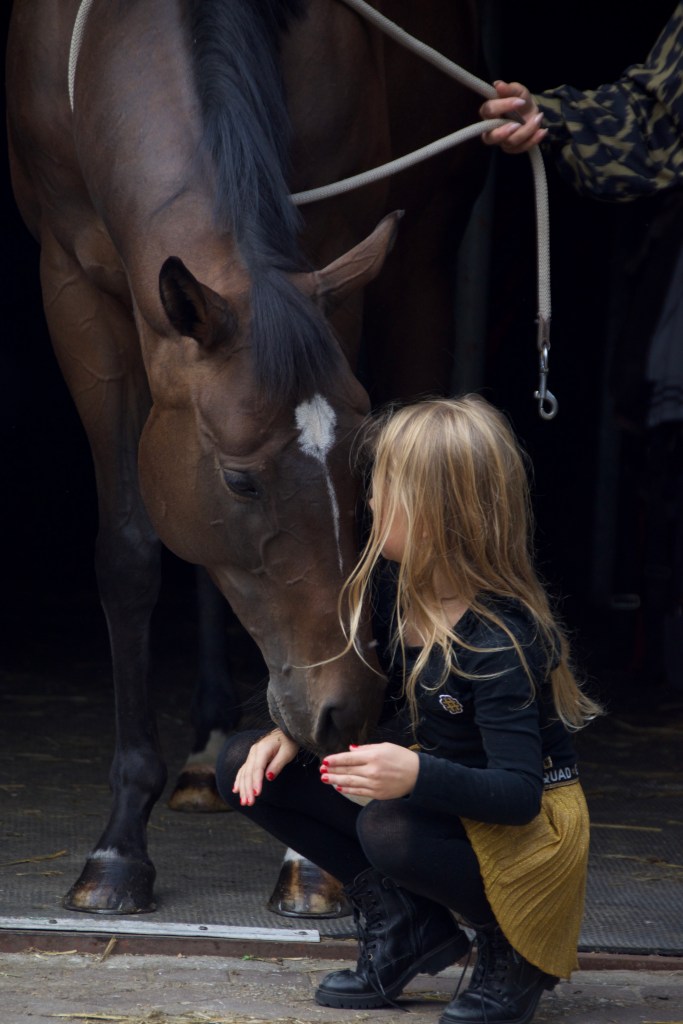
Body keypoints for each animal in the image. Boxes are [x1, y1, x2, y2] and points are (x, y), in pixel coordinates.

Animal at [6, 0, 488, 915]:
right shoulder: (75, 290)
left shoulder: (336, 248)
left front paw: (313, 861)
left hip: (428, 249)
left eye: (361, 469)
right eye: (238, 479)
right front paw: (118, 848)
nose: (342, 711)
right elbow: (130, 556)